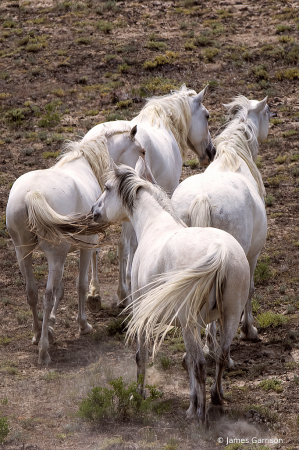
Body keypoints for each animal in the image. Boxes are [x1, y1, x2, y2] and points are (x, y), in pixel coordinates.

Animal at [4, 124, 145, 366]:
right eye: (142, 151)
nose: (142, 177)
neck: (84, 164)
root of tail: (32, 194)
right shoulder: (86, 248)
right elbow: (80, 285)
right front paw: (83, 324)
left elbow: (61, 290)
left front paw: (51, 325)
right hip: (54, 256)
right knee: (46, 295)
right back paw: (44, 352)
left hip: (23, 251)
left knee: (32, 292)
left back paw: (37, 334)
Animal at [89, 159, 251, 426]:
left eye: (107, 187)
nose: (94, 210)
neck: (153, 225)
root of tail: (221, 251)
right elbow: (188, 361)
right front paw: (192, 402)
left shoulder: (142, 312)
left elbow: (142, 355)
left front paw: (139, 394)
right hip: (229, 317)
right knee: (220, 356)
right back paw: (215, 400)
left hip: (191, 322)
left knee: (201, 363)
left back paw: (201, 416)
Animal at [171, 96, 272, 348]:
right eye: (267, 111)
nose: (274, 114)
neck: (234, 158)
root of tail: (202, 198)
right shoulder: (252, 255)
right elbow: (250, 290)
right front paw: (248, 330)